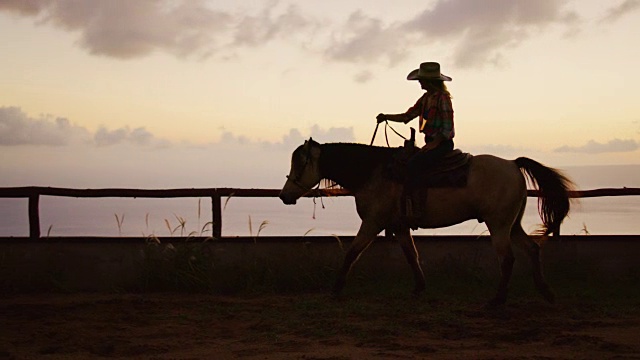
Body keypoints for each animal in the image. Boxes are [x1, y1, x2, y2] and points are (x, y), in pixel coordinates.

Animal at [278, 139, 572, 306]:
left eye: (300, 164)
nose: (284, 195)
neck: (373, 172)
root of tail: (512, 164)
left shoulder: (373, 222)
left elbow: (352, 253)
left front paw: (336, 288)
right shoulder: (399, 226)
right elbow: (412, 255)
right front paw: (419, 288)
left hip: (499, 225)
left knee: (508, 259)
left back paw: (497, 301)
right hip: (512, 225)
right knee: (532, 249)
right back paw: (546, 292)